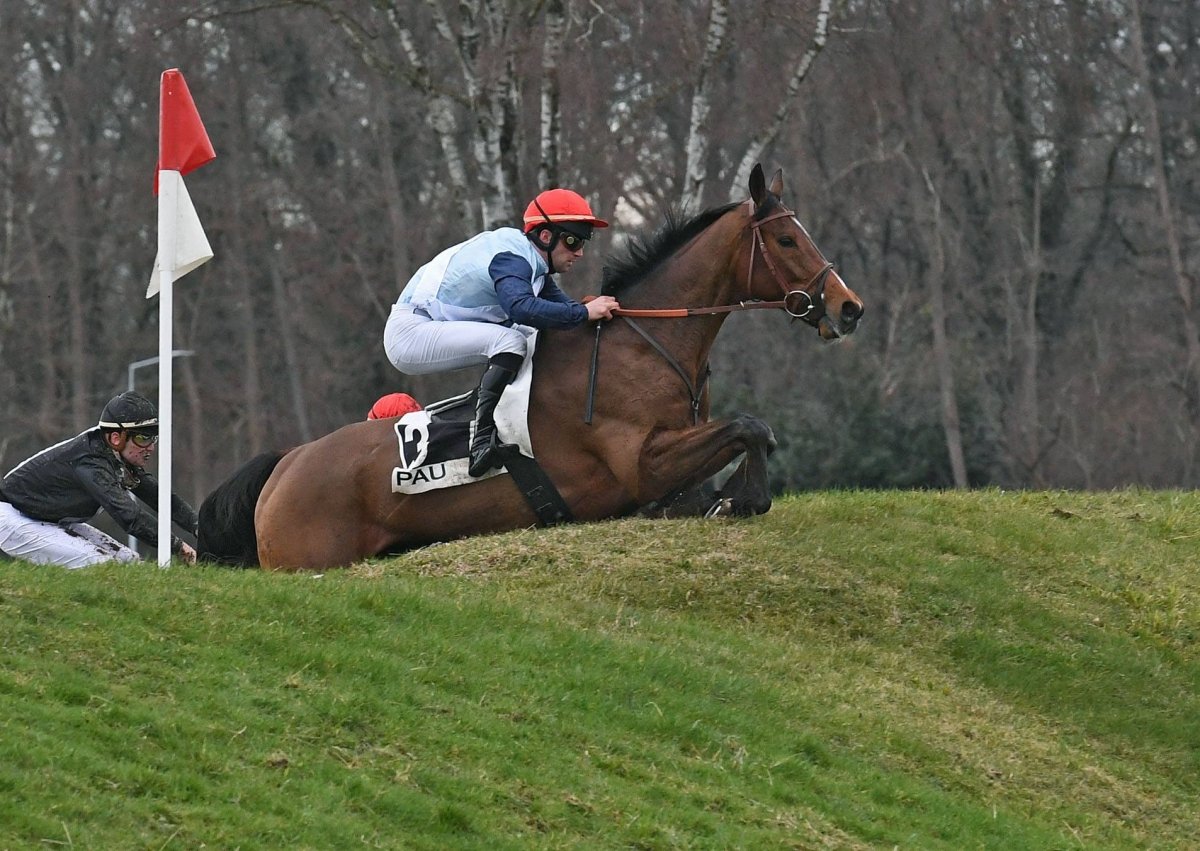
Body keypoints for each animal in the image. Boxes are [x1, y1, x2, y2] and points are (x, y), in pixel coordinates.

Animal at [197, 165, 864, 570]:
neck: (646, 345)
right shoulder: (639, 463)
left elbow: (752, 436)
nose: (849, 307)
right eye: (787, 241)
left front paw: (726, 498)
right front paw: (742, 499)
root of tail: (284, 466)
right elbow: (751, 426)